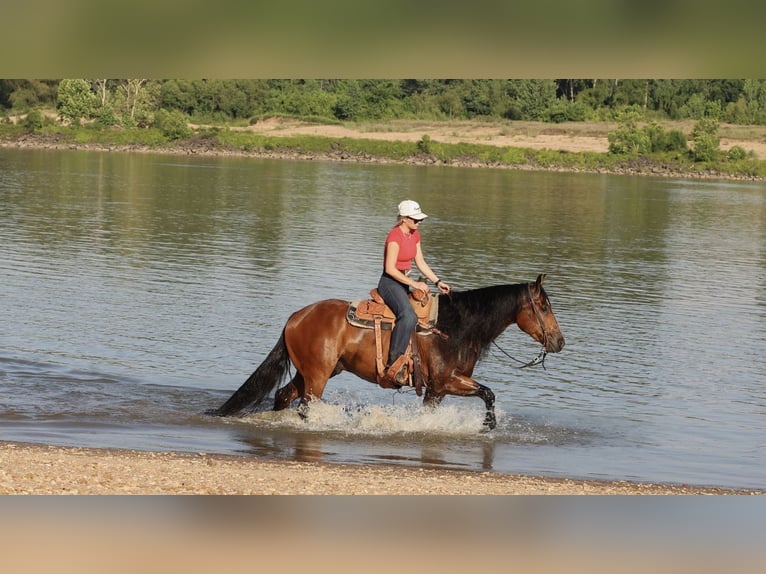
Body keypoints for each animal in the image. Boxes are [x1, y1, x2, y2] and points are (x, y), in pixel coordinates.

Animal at [211, 274, 564, 429]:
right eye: (544, 307)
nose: (559, 341)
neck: (458, 326)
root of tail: (296, 317)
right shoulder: (445, 381)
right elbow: (489, 393)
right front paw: (487, 425)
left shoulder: (436, 391)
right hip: (317, 377)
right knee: (305, 406)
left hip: (312, 371)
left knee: (284, 395)